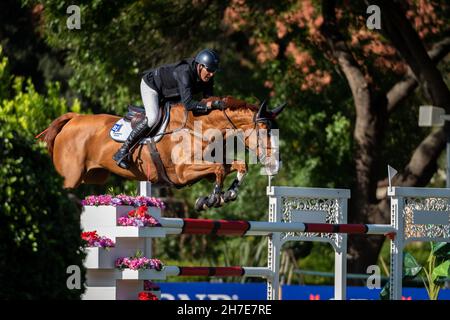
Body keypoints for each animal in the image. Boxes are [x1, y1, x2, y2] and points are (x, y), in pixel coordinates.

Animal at [38, 95, 284, 210]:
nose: (275, 165)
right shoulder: (183, 173)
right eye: (264, 129)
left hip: (93, 176)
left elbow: (237, 166)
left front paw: (227, 194)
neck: (199, 128)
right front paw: (212, 198)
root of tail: (73, 118)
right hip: (72, 176)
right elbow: (218, 170)